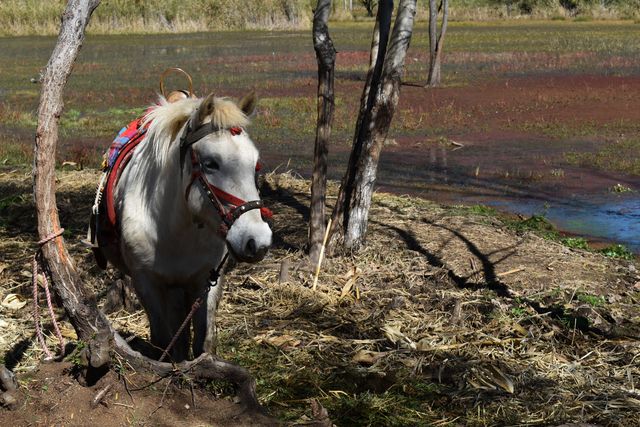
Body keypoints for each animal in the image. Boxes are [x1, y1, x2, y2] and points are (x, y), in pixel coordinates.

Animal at [97, 93, 272, 362]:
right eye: (211, 163)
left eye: (256, 165)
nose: (257, 241)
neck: (175, 229)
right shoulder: (147, 284)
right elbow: (164, 341)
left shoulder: (206, 281)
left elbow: (203, 342)